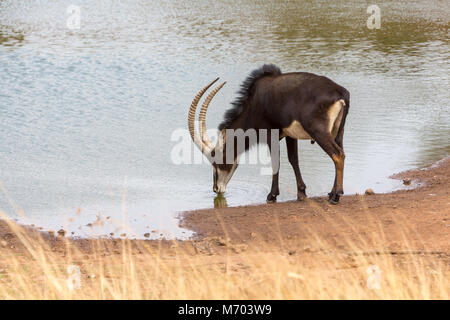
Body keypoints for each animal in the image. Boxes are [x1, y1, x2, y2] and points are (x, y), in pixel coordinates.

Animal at [188, 64, 350, 204]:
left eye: (216, 160)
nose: (216, 189)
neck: (254, 103)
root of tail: (340, 92)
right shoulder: (290, 135)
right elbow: (293, 159)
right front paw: (301, 192)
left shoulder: (270, 135)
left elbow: (275, 162)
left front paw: (272, 195)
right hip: (338, 132)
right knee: (341, 151)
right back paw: (332, 192)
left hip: (319, 132)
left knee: (337, 155)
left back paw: (335, 196)